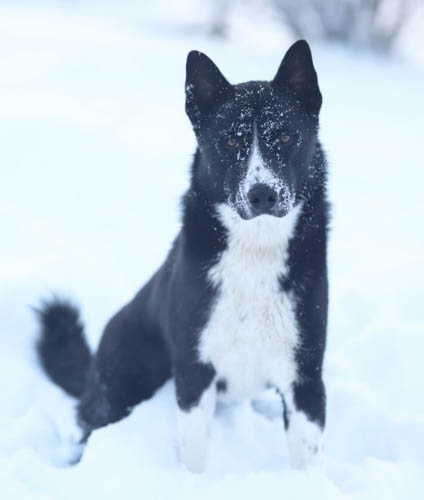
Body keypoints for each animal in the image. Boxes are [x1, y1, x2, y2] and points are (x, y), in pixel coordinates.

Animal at [36, 40, 330, 472]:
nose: (262, 195)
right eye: (229, 141)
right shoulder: (194, 370)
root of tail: (93, 374)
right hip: (125, 380)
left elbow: (306, 457)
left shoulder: (305, 373)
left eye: (286, 135)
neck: (255, 250)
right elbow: (194, 453)